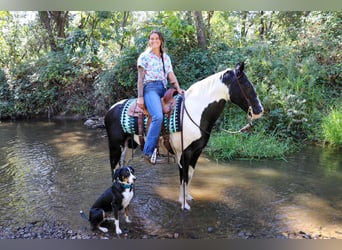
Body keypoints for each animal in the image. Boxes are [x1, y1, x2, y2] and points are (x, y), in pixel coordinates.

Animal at [104, 61, 264, 210]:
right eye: (247, 86)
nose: (259, 110)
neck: (195, 111)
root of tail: (111, 109)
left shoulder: (196, 152)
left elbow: (190, 175)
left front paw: (188, 198)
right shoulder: (183, 154)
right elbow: (183, 177)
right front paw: (183, 204)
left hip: (128, 146)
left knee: (122, 168)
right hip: (115, 147)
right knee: (113, 170)